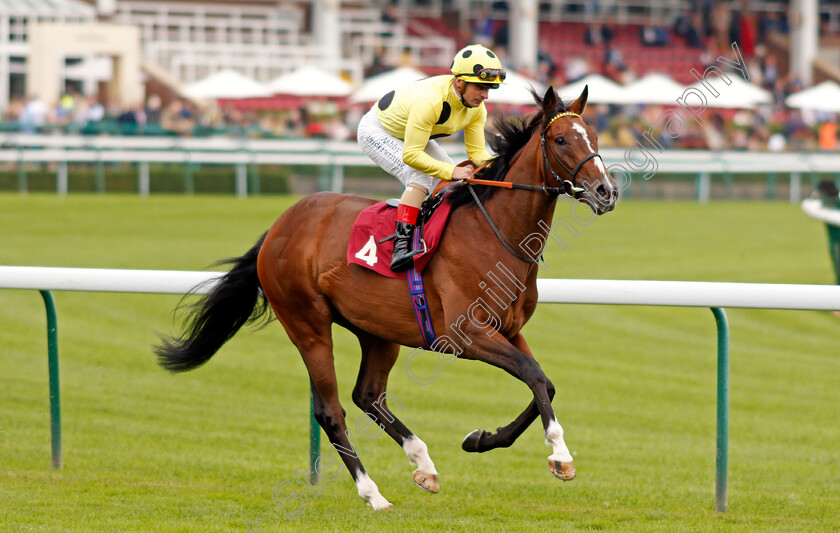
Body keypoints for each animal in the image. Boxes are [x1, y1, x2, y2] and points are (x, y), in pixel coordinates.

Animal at [156, 86, 616, 508]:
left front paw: (479, 438)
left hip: (376, 329)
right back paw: (372, 493)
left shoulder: (509, 330)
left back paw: (423, 463)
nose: (606, 191)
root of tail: (279, 227)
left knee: (367, 395)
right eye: (561, 140)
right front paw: (561, 456)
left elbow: (544, 383)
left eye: (594, 135)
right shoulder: (466, 334)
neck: (495, 233)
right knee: (331, 410)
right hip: (308, 325)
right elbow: (534, 375)